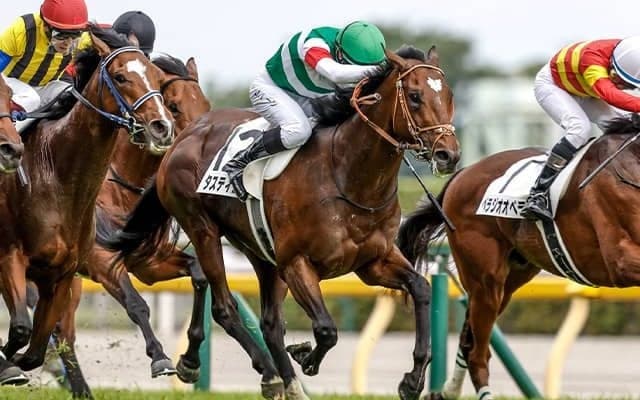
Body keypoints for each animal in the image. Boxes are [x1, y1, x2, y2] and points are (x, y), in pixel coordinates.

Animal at [0, 24, 174, 380]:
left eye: (155, 75)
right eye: (120, 77)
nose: (162, 127)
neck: (57, 176)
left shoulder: (63, 272)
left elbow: (37, 347)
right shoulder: (10, 256)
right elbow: (22, 330)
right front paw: (7, 366)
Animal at [28, 54, 211, 398]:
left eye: (205, 104)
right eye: (175, 105)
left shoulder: (150, 262)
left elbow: (199, 275)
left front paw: (189, 362)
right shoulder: (102, 260)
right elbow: (136, 304)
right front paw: (160, 358)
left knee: (61, 328)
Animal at [104, 45, 460, 400]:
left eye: (449, 95)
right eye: (415, 96)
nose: (448, 154)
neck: (347, 175)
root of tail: (184, 139)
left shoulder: (373, 261)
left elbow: (421, 288)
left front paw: (412, 379)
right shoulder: (296, 262)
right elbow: (326, 329)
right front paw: (307, 356)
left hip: (261, 252)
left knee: (270, 323)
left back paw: (281, 381)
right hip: (203, 230)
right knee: (224, 306)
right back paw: (245, 370)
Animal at [397, 114, 640, 400]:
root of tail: (462, 174)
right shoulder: (620, 259)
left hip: (510, 280)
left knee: (468, 341)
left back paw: (445, 392)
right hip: (485, 280)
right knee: (477, 353)